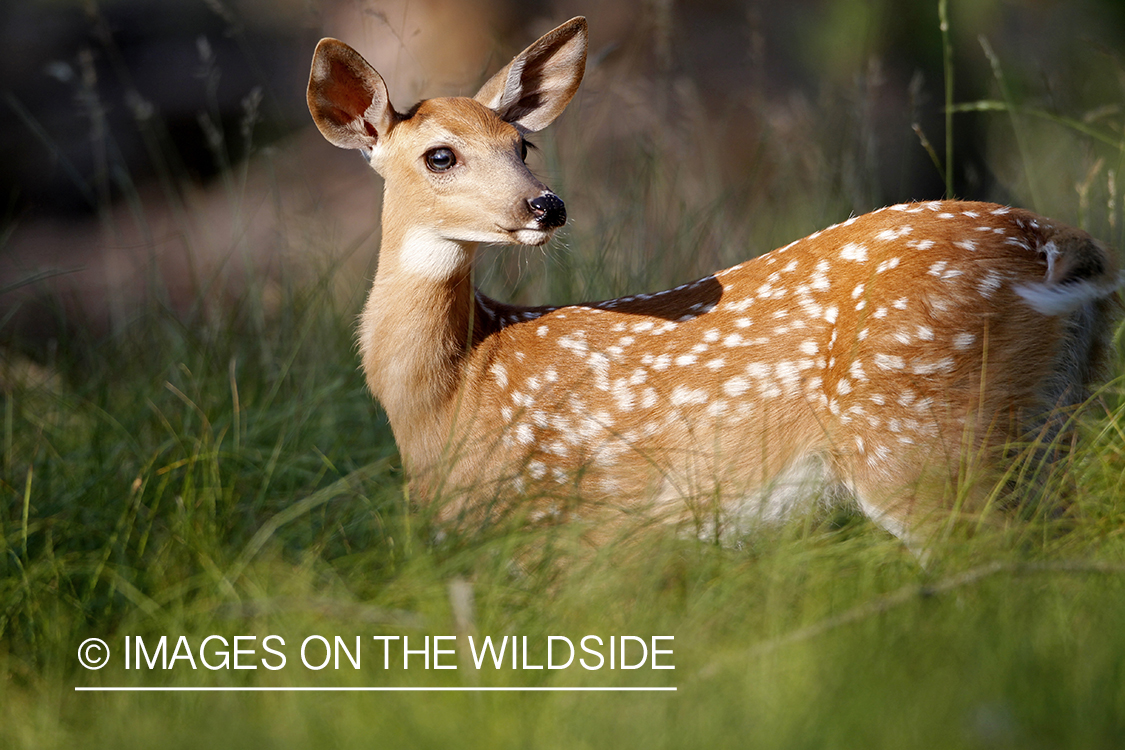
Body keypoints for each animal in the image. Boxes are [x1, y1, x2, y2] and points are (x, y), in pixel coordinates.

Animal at [307, 17, 1122, 548]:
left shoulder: (587, 521)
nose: (546, 205)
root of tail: (1061, 244)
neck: (453, 394)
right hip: (1048, 424)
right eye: (440, 156)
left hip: (919, 438)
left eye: (523, 145)